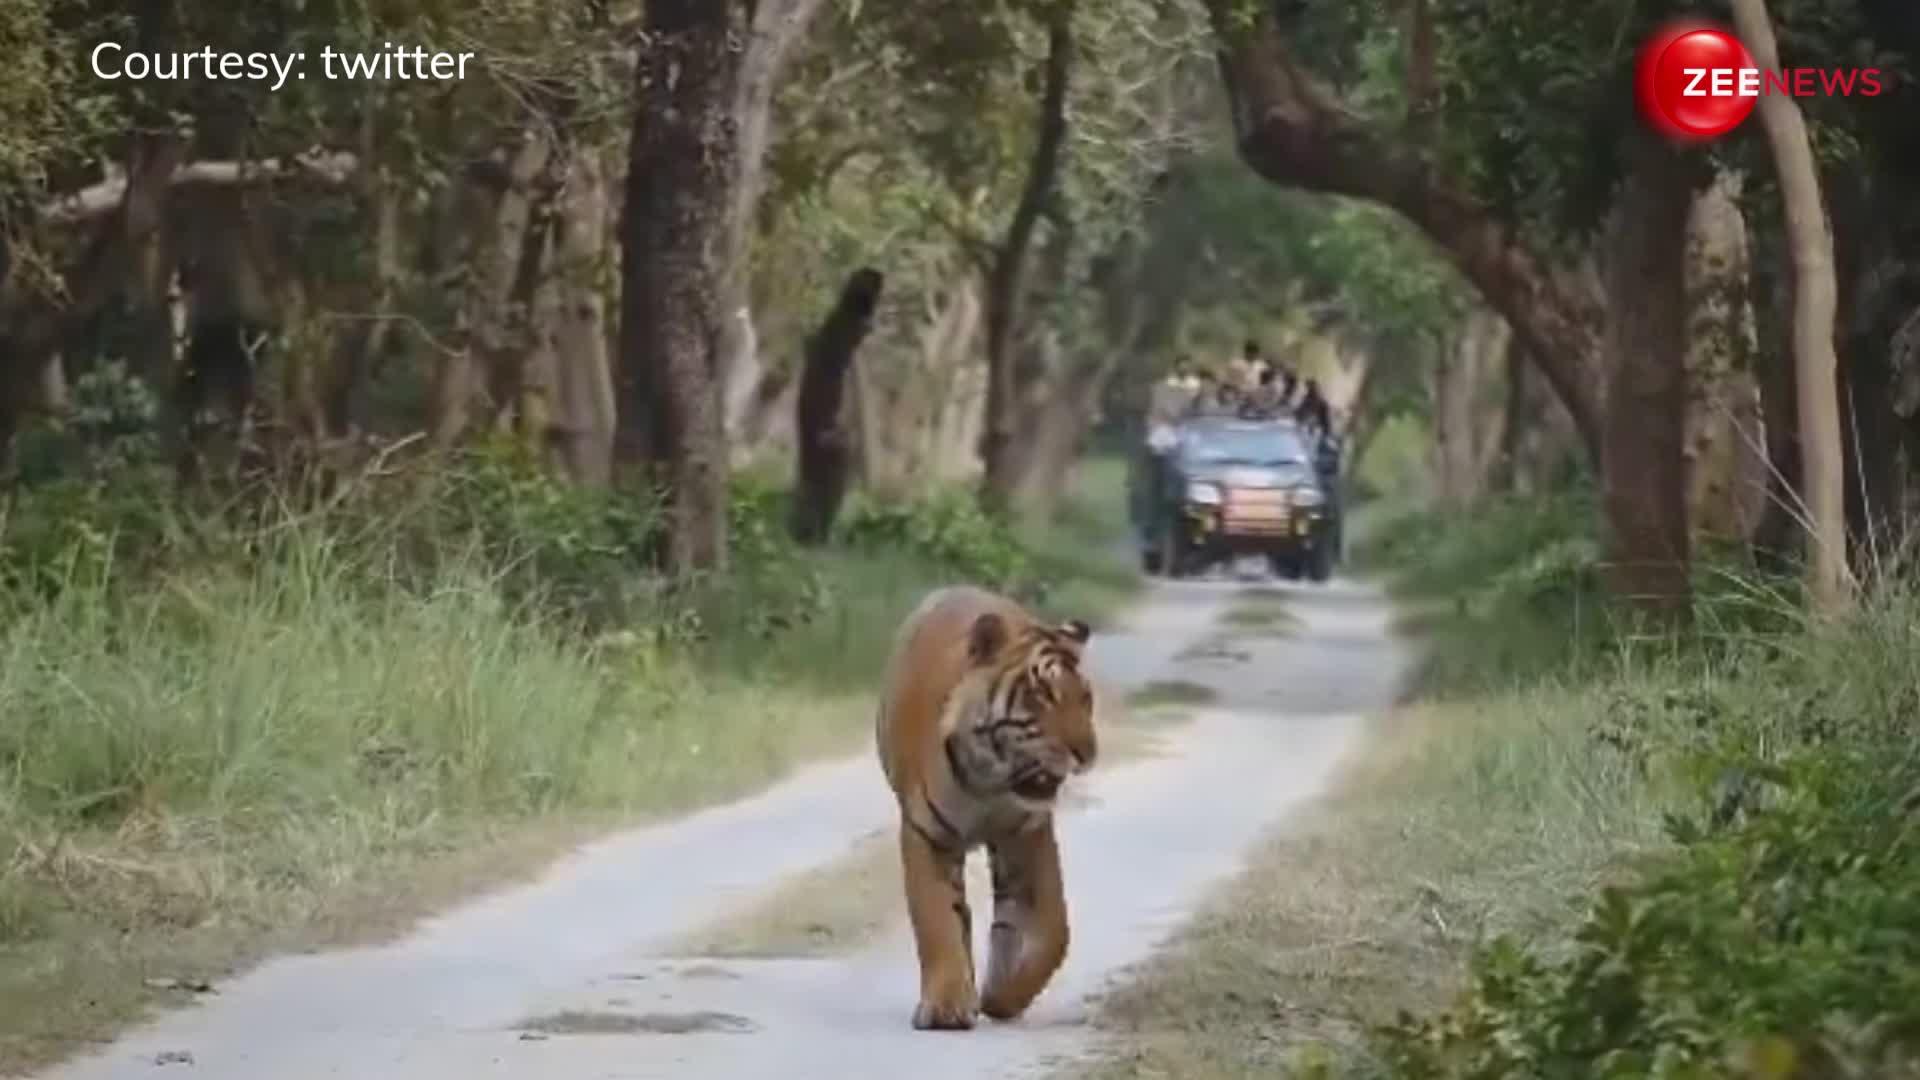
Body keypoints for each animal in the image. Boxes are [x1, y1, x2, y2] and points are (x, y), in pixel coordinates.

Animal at [871, 580, 1098, 1022]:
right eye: (1042, 697)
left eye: (1085, 699)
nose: (1087, 754)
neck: (991, 783)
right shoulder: (927, 834)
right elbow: (937, 919)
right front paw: (946, 1006)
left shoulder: (1029, 836)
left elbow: (1054, 930)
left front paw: (1006, 997)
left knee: (1006, 922)